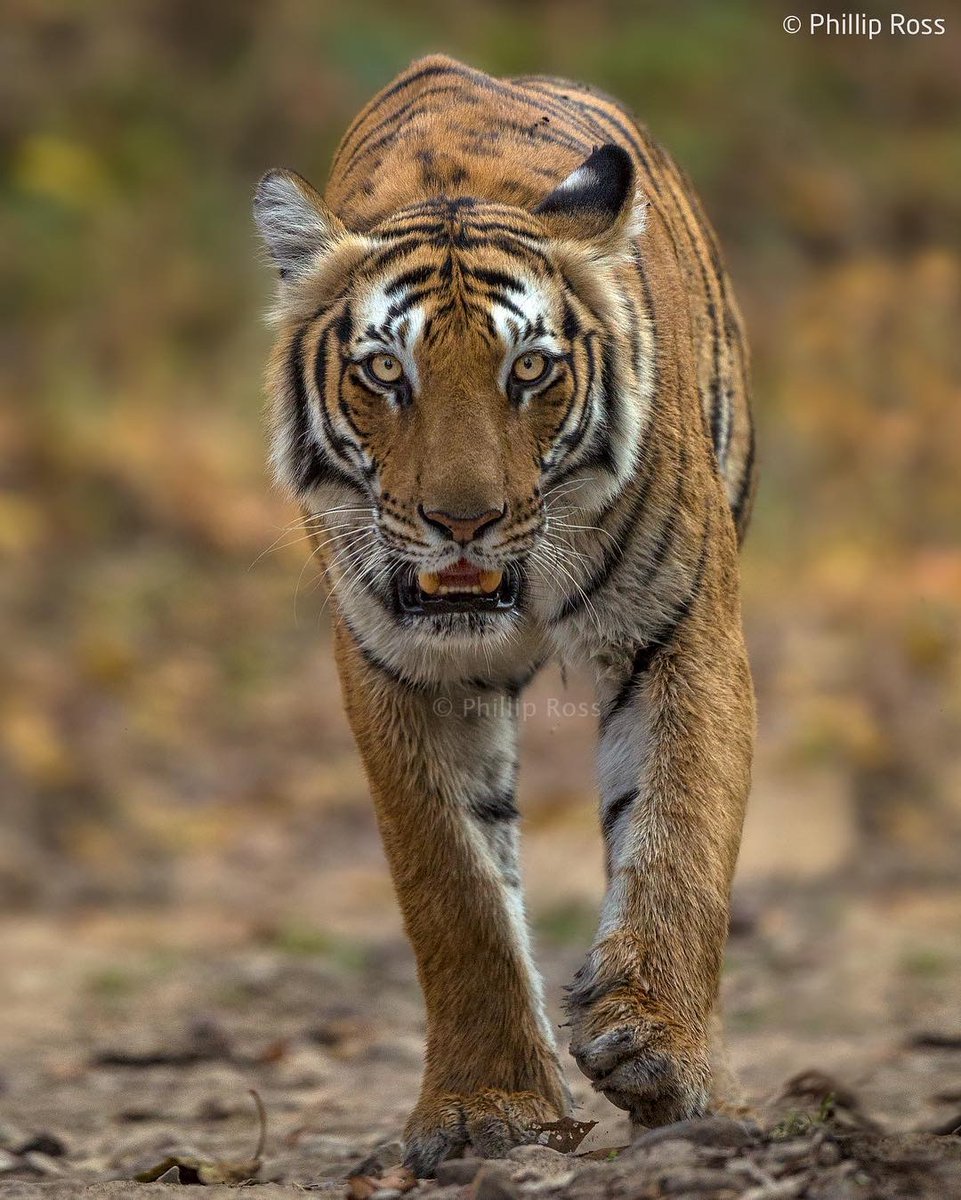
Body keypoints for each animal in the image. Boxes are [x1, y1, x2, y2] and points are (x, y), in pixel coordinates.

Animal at [253, 54, 756, 1176]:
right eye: (383, 371)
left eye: (528, 368)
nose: (462, 522)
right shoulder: (400, 667)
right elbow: (455, 887)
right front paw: (487, 1109)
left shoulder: (680, 629)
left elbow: (680, 832)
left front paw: (657, 1051)